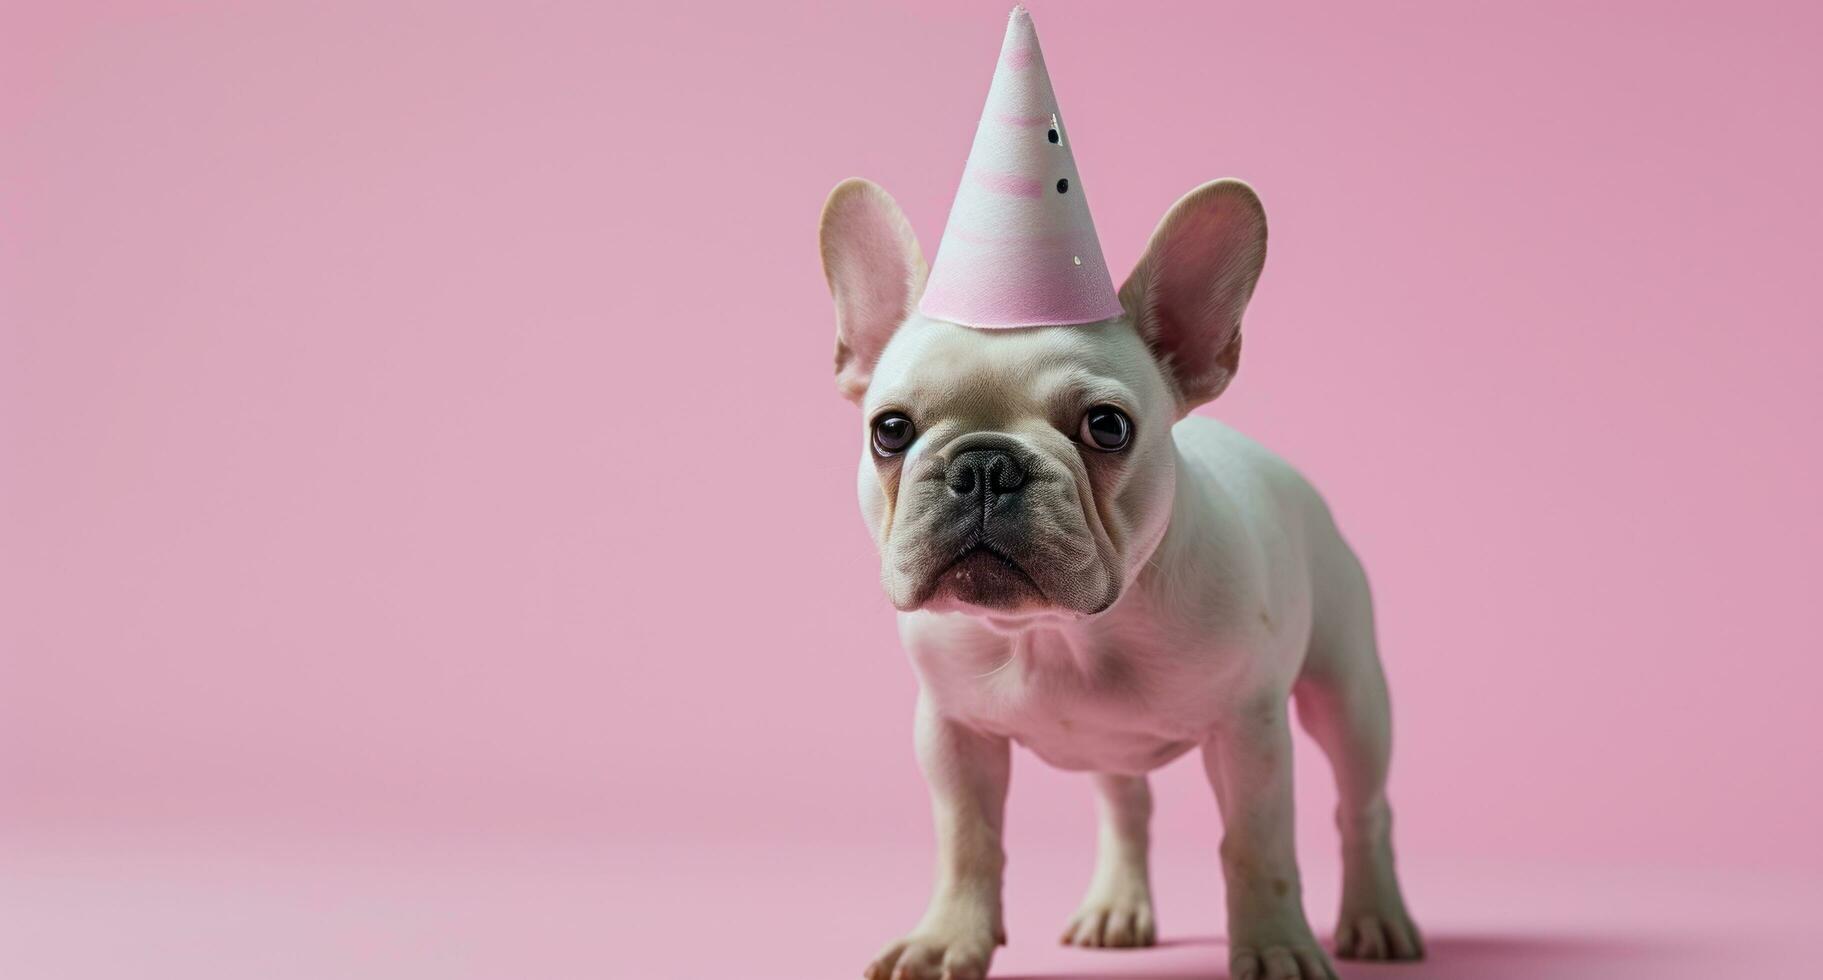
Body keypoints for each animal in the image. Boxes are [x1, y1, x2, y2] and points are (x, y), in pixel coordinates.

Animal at [816, 175, 1421, 976]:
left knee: (1363, 806)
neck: (1057, 633)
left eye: (1107, 426)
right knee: (1126, 805)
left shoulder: (1251, 732)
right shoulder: (952, 733)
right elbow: (967, 842)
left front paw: (1274, 945)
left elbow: (1256, 848)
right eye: (890, 430)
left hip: (1347, 693)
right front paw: (949, 938)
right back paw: (1117, 905)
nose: (985, 465)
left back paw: (1376, 916)